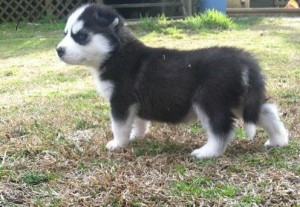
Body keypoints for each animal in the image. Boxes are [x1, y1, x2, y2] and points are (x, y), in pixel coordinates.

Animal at [56, 3, 288, 158]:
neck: (116, 53)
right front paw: (136, 136)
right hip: (240, 99)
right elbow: (138, 122)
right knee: (267, 112)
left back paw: (207, 152)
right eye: (66, 33)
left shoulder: (121, 100)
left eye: (81, 36)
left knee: (222, 129)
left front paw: (118, 144)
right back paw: (279, 140)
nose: (58, 50)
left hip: (209, 100)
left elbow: (119, 126)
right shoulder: (134, 103)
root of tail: (244, 59)